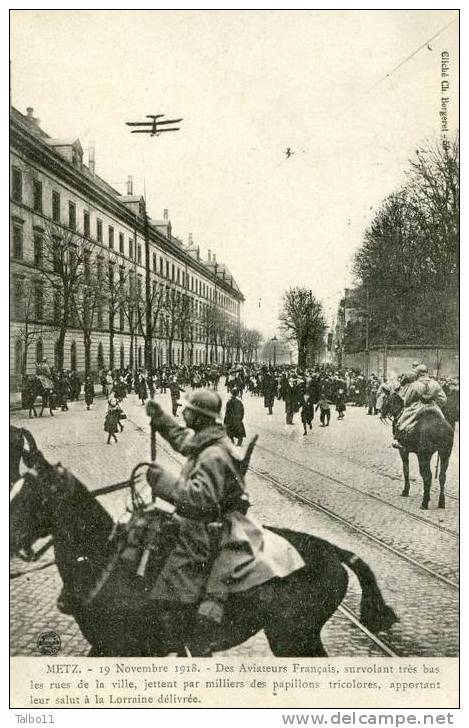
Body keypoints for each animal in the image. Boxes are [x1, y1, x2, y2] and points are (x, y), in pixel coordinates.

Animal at [11, 430, 396, 656]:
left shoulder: (131, 649)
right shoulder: (108, 649)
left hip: (293, 639)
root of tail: (333, 550)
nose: (12, 537)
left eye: (38, 493)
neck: (105, 561)